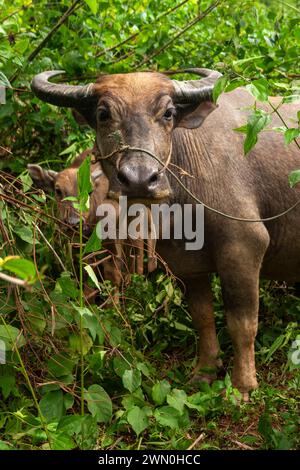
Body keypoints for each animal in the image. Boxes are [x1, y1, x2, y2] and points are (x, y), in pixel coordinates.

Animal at [30, 69, 300, 400]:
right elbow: (202, 317)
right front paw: (205, 372)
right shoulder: (187, 265)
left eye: (168, 113)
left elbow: (243, 324)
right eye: (103, 113)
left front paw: (242, 387)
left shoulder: (243, 248)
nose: (140, 179)